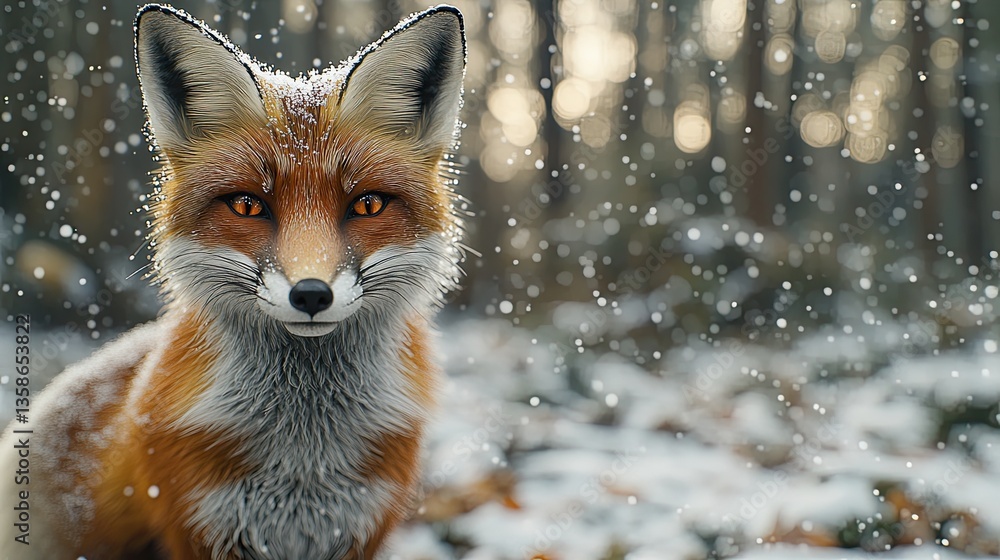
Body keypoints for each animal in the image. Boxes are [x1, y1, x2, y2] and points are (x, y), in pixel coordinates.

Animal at [0, 3, 466, 559]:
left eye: (368, 204)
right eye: (247, 205)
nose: (311, 294)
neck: (304, 452)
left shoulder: (360, 524)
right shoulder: (198, 519)